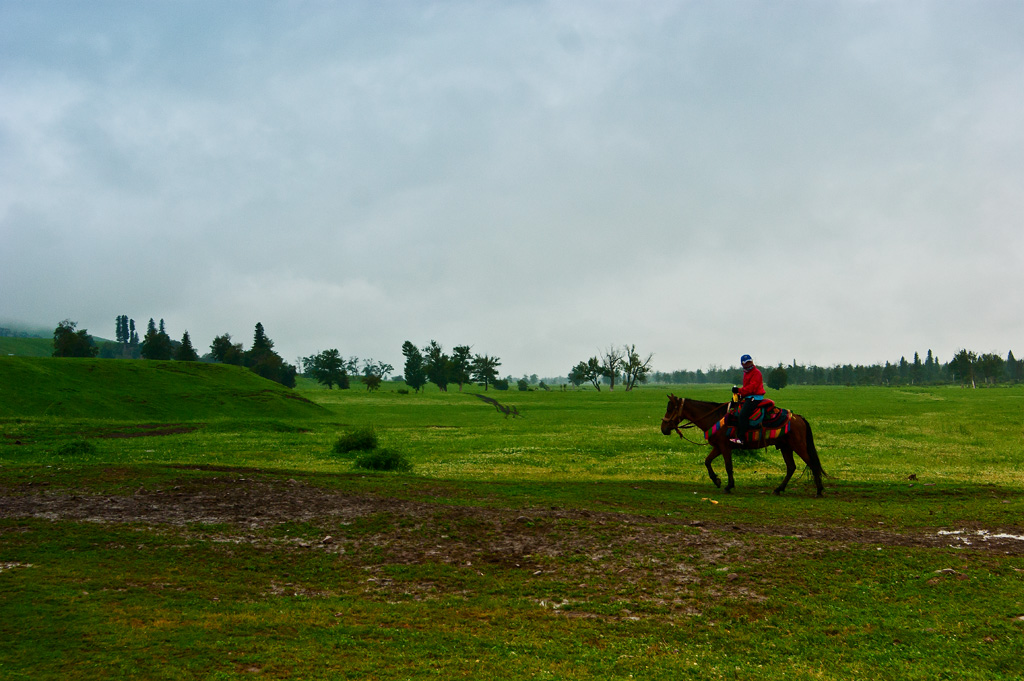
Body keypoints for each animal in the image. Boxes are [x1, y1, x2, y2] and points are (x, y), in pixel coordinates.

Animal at [663, 393, 823, 493]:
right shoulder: (718, 447)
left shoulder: (725, 447)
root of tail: (799, 418)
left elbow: (728, 466)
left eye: (670, 408)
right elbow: (707, 461)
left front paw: (729, 486)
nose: (663, 428)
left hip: (798, 445)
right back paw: (778, 489)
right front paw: (716, 480)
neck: (715, 417)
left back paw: (819, 490)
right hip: (786, 447)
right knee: (791, 467)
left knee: (812, 463)